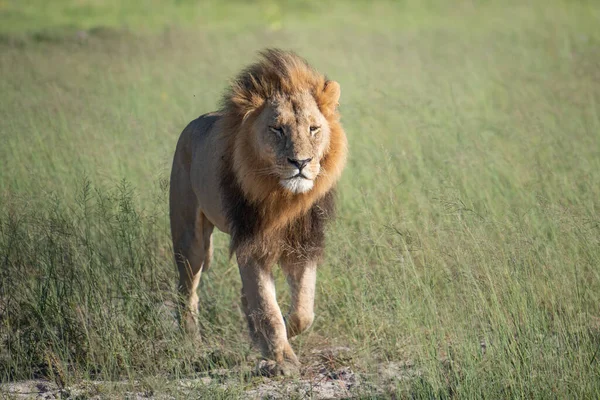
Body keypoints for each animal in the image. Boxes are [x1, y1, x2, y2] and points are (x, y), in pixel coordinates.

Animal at [169, 48, 346, 376]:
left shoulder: (303, 244)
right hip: (189, 238)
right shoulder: (250, 244)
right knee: (187, 291)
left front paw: (282, 336)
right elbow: (267, 307)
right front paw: (282, 359)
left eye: (313, 129)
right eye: (277, 129)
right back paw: (191, 343)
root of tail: (194, 123)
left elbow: (303, 310)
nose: (300, 162)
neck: (284, 197)